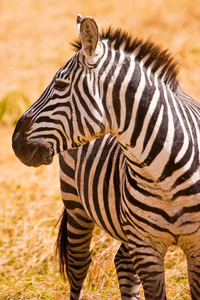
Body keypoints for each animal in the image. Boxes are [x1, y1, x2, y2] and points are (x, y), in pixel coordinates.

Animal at [11, 14, 200, 300]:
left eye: (60, 85)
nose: (14, 142)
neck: (165, 176)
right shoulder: (146, 247)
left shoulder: (195, 248)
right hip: (76, 206)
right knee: (79, 267)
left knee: (122, 262)